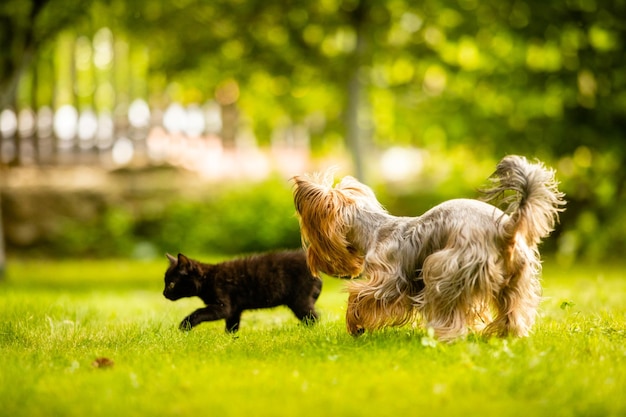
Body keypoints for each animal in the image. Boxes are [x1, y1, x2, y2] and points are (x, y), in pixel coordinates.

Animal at [161, 247, 322, 332]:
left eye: (171, 284)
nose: (164, 293)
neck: (208, 278)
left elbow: (199, 312)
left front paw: (185, 325)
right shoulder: (234, 309)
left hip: (299, 300)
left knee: (314, 317)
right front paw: (231, 340)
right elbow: (232, 325)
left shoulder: (223, 306)